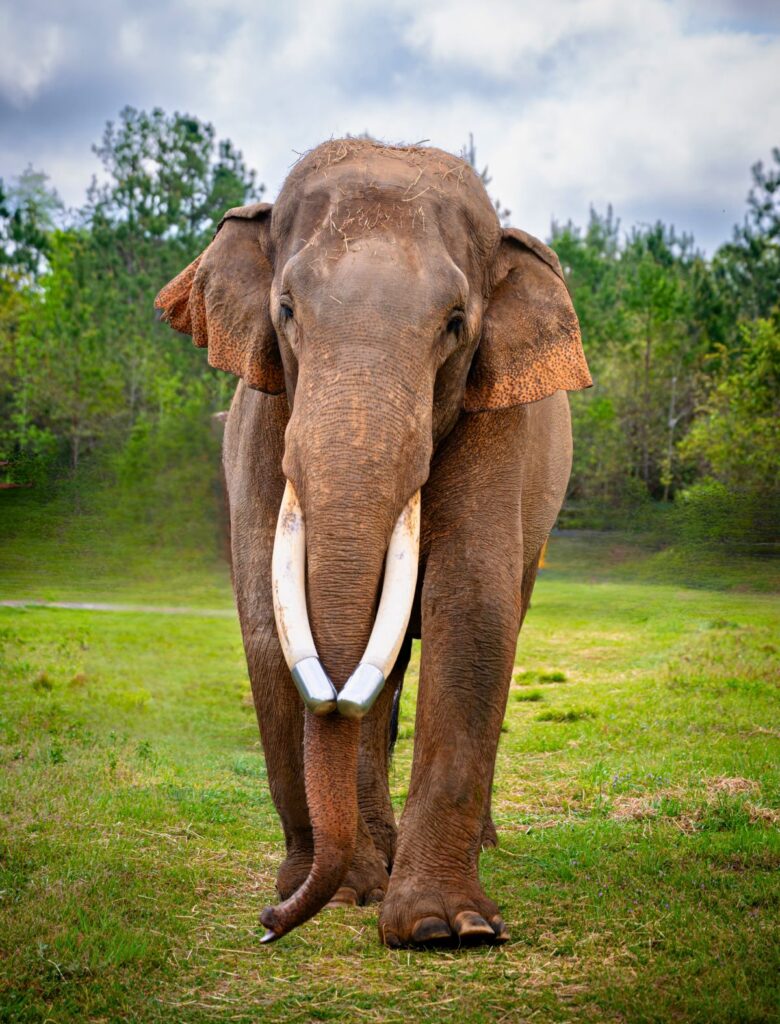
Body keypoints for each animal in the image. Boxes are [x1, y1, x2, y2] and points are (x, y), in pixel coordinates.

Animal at [155, 138, 591, 948]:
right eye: (286, 309)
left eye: (455, 322)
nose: (269, 925)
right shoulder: (261, 417)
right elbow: (266, 623)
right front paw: (337, 894)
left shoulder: (499, 420)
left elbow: (472, 612)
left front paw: (446, 929)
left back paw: (470, 847)